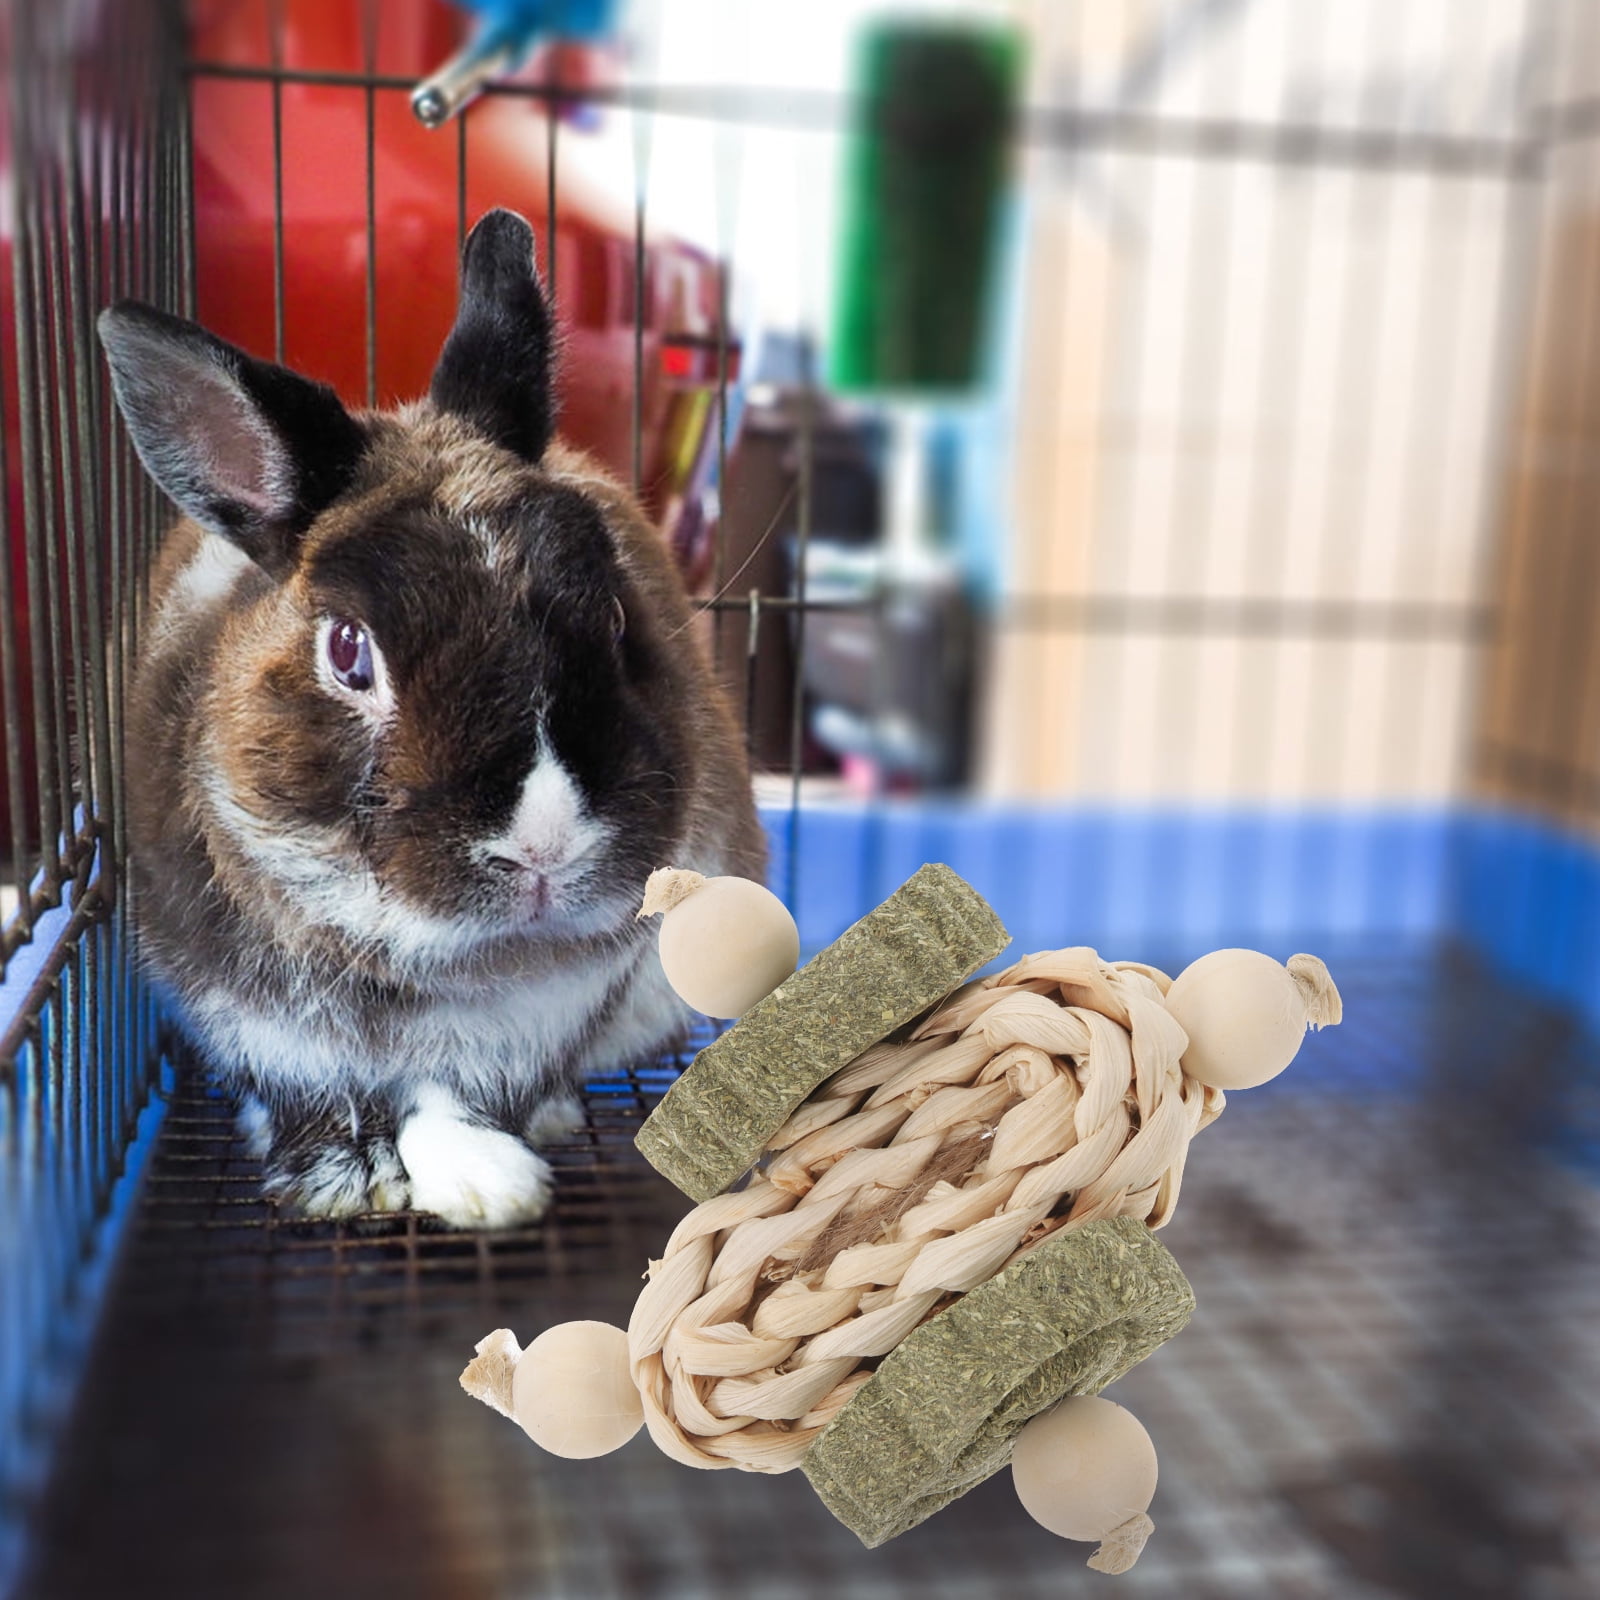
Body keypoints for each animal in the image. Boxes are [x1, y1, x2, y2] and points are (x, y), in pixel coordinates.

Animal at [98, 209, 765, 1228]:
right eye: (348, 652)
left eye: (618, 622)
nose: (542, 848)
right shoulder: (250, 1019)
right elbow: (307, 1098)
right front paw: (338, 1183)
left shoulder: (526, 1026)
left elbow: (453, 1099)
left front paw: (488, 1183)